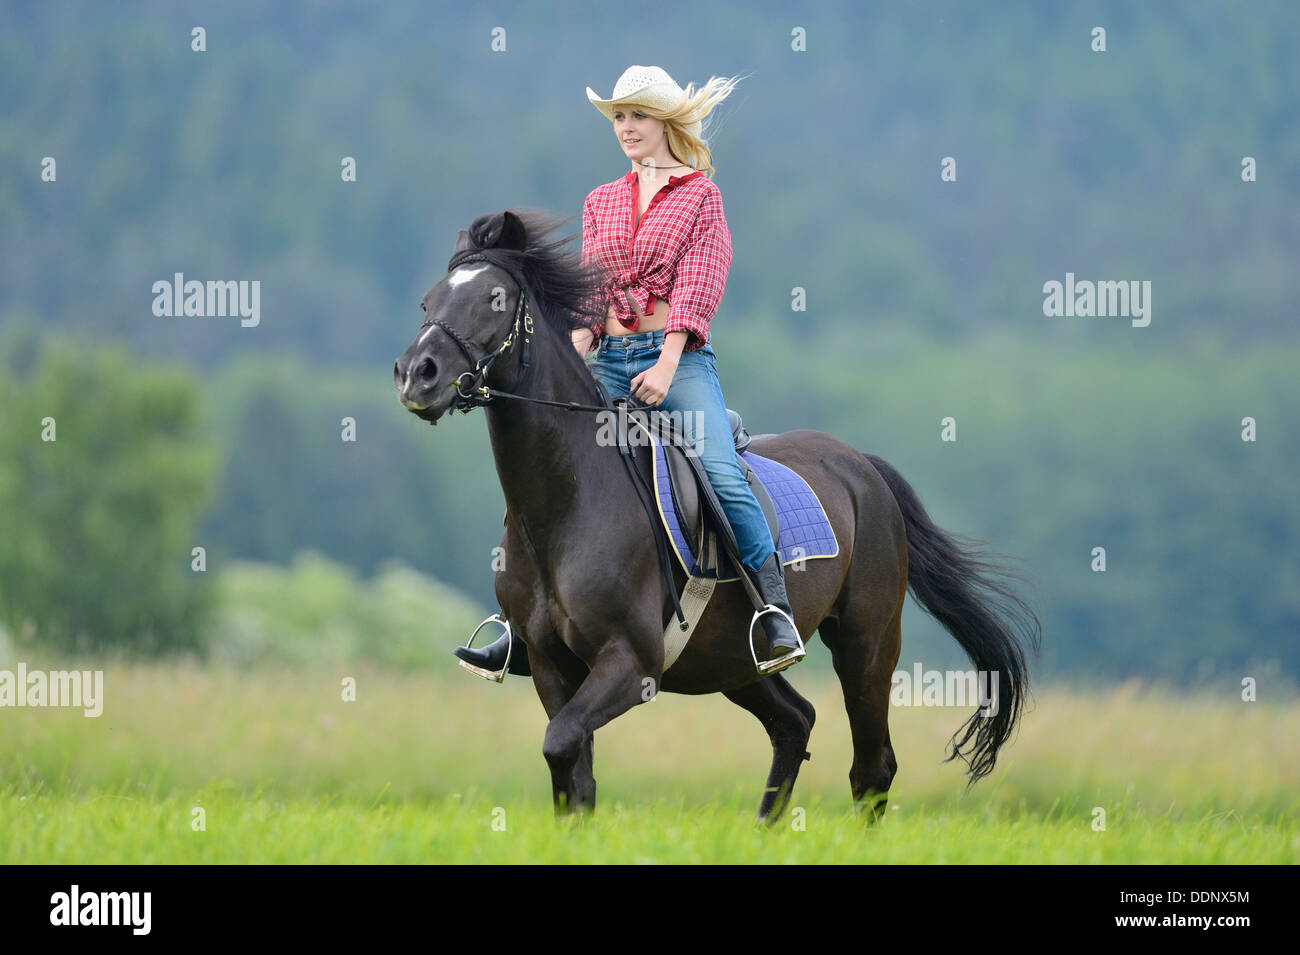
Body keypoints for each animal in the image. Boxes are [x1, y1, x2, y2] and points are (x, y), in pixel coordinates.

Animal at [394, 208, 1040, 821]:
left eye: (493, 299)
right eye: (429, 300)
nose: (416, 375)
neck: (567, 505)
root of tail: (863, 468)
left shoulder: (631, 662)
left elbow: (560, 746)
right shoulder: (553, 666)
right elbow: (571, 774)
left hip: (867, 644)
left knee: (871, 768)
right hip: (731, 662)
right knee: (795, 722)